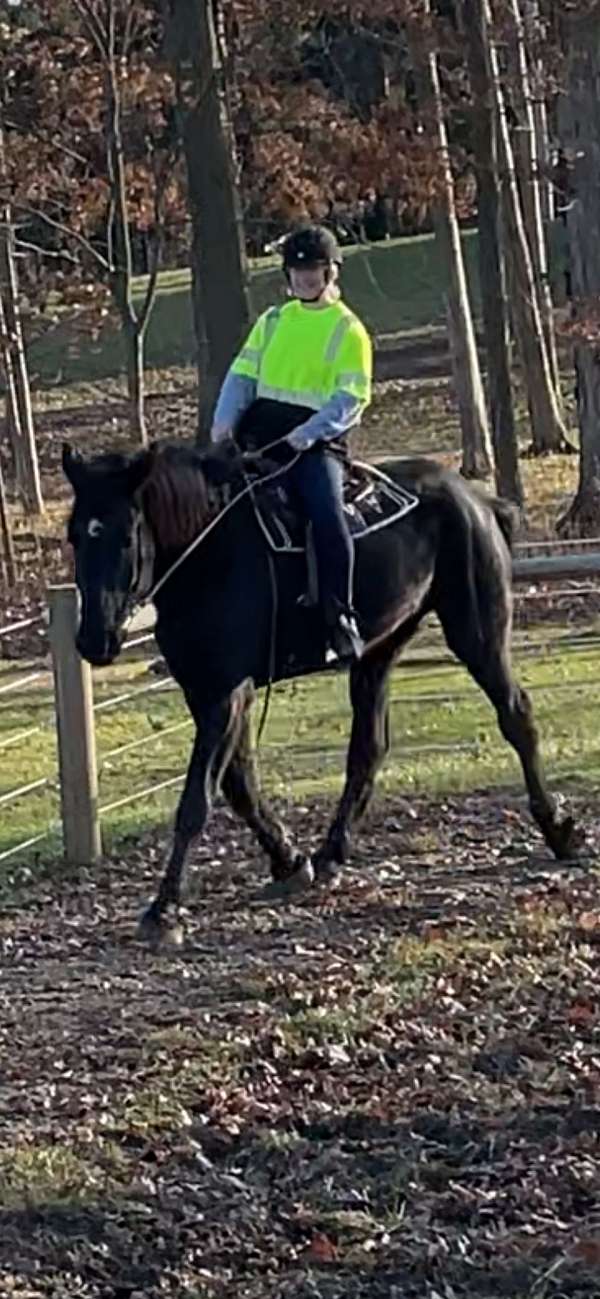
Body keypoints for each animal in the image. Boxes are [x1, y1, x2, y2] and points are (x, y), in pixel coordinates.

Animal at [64, 439, 581, 945]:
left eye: (126, 536)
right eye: (75, 536)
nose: (94, 640)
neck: (209, 552)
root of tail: (478, 501)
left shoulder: (225, 695)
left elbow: (197, 800)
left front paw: (165, 908)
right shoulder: (207, 692)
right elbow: (239, 785)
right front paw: (290, 862)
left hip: (477, 633)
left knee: (516, 715)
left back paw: (557, 830)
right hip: (380, 650)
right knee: (369, 748)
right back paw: (331, 854)